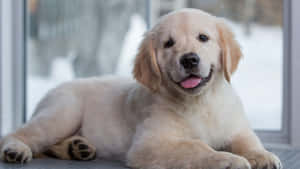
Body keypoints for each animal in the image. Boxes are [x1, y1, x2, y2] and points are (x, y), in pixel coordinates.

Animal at [0, 8, 282, 169]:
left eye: (203, 38)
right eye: (169, 44)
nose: (189, 59)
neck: (200, 102)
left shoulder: (236, 127)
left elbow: (249, 141)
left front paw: (263, 156)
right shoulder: (149, 144)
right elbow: (196, 147)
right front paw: (229, 160)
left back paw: (77, 148)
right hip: (62, 113)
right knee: (21, 134)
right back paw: (15, 150)